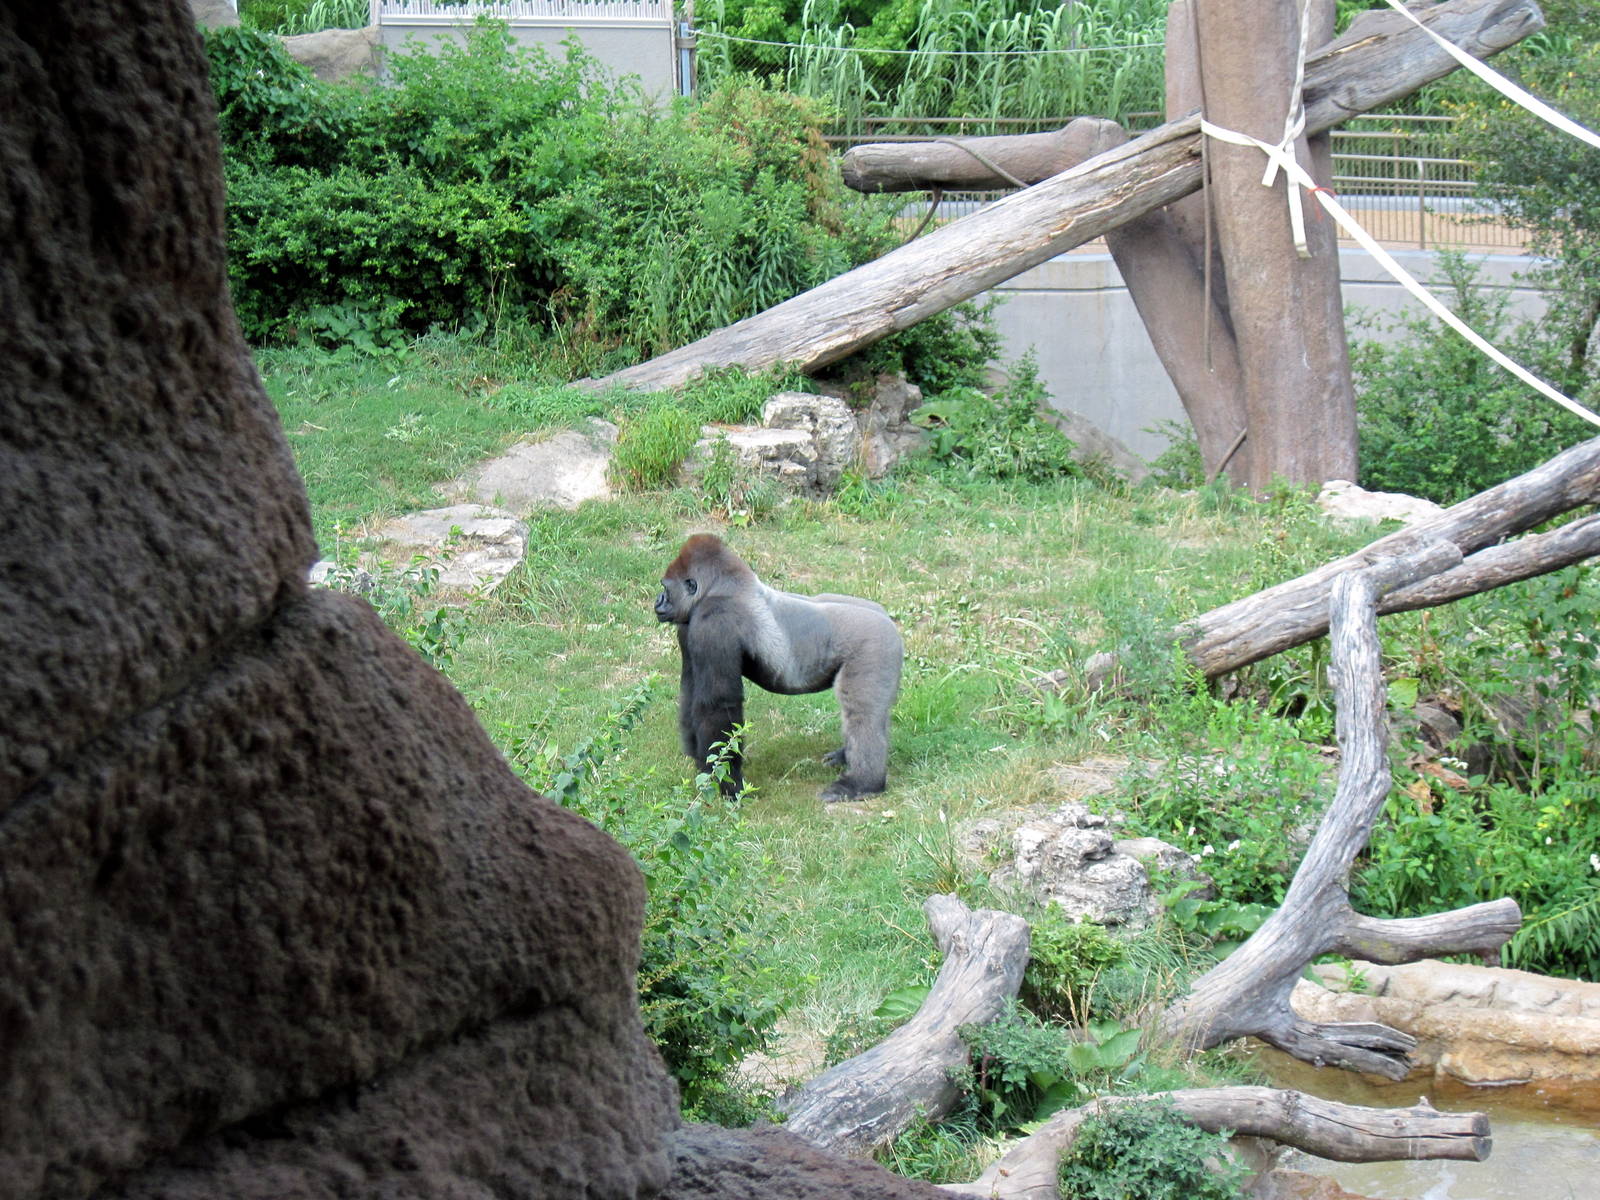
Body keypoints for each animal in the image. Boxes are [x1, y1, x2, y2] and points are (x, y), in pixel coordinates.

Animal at [653, 533, 903, 801]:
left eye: (665, 588)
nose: (658, 600)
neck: (719, 587)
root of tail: (890, 622)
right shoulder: (689, 629)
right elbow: (691, 693)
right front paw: (703, 764)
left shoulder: (714, 623)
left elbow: (718, 704)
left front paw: (728, 781)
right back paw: (845, 757)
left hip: (876, 646)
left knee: (862, 715)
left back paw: (863, 783)